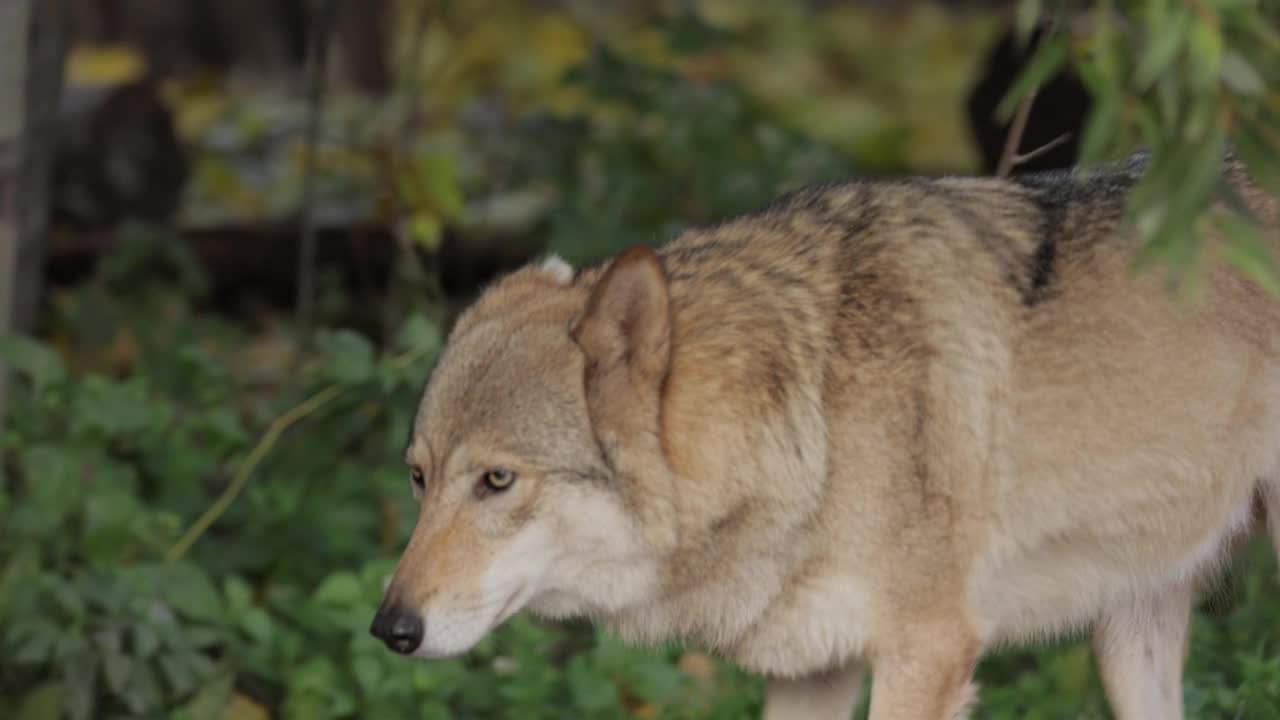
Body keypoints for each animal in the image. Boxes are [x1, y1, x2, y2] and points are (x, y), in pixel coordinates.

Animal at [368, 149, 1280, 712]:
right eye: (418, 477)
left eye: (496, 481)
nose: (389, 631)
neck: (817, 413)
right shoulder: (813, 669)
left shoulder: (928, 652)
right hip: (1130, 638)